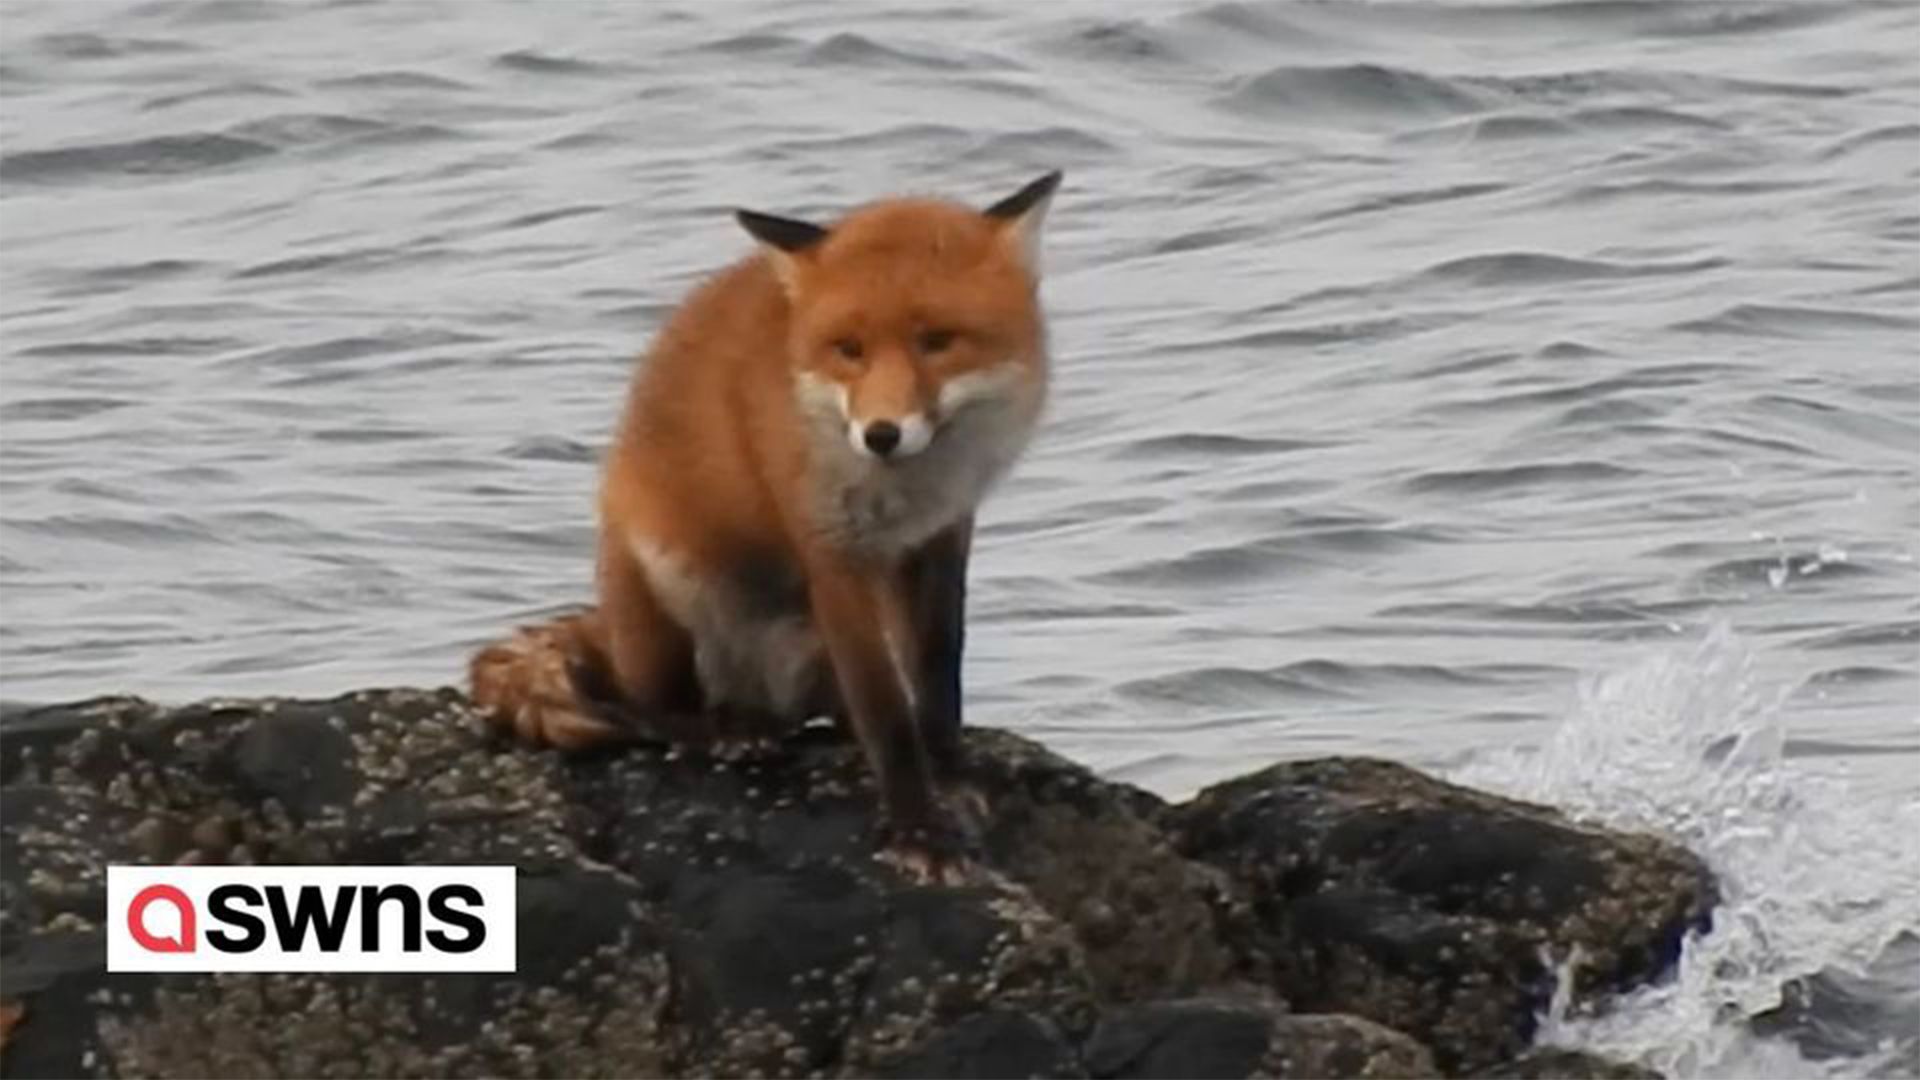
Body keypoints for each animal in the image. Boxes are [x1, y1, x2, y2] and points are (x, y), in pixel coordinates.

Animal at [468, 171, 1061, 876]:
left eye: (937, 341)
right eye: (849, 350)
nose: (880, 434)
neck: (910, 489)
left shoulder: (944, 537)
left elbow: (939, 672)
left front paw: (950, 772)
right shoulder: (831, 554)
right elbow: (887, 714)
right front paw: (919, 832)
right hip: (663, 591)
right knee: (648, 706)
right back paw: (724, 731)